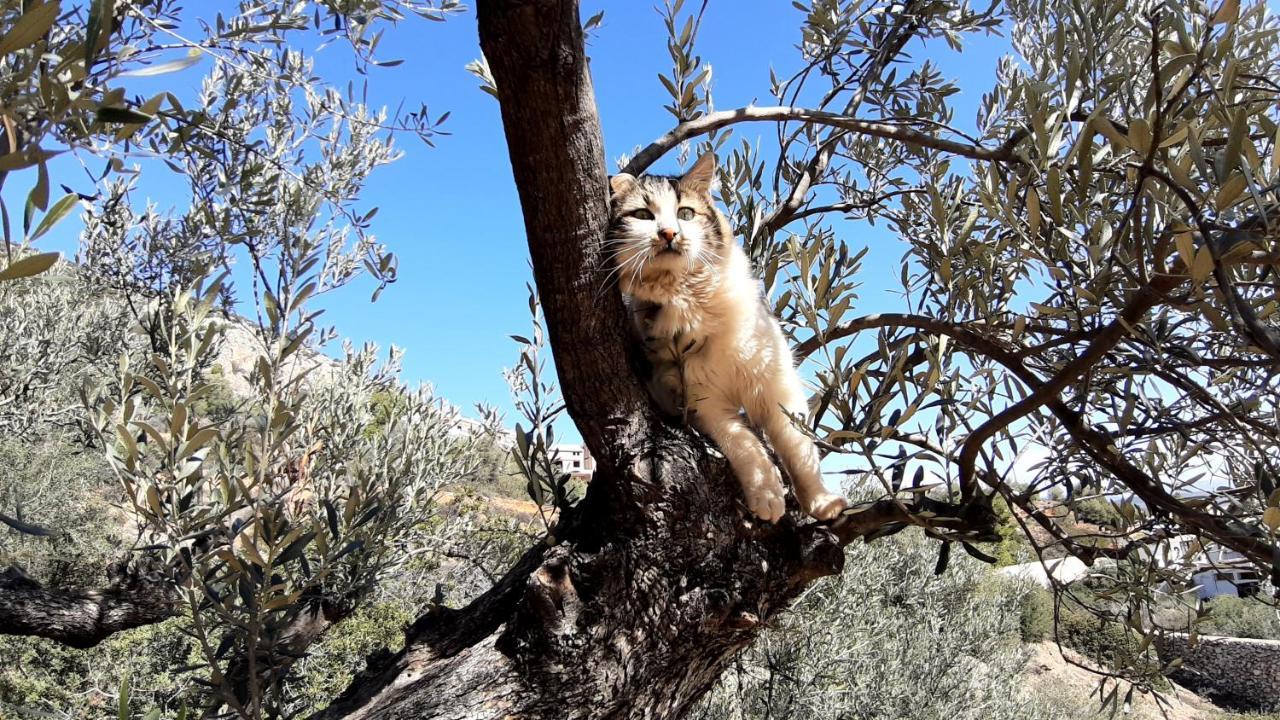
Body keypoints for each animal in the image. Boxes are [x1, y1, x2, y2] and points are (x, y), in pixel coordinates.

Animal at [609, 151, 849, 520]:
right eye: (643, 216)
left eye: (686, 214)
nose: (668, 233)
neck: (691, 301)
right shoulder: (705, 404)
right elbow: (745, 444)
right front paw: (768, 497)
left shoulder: (776, 387)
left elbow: (798, 449)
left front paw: (822, 502)